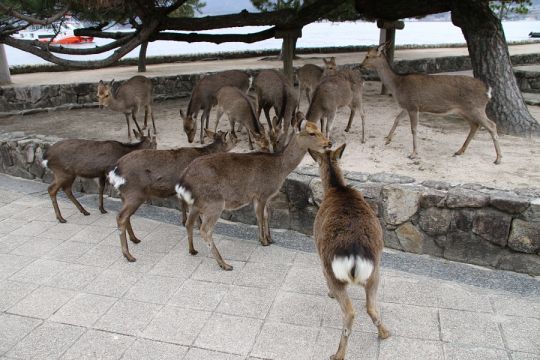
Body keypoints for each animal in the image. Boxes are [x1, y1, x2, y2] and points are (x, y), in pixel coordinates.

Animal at [107, 129, 236, 262]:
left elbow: (183, 205)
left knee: (125, 216)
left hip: (124, 195)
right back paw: (129, 255)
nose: (237, 139)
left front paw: (184, 222)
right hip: (135, 193)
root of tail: (114, 171)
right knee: (121, 216)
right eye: (231, 137)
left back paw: (135, 239)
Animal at [175, 121, 332, 270]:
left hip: (197, 203)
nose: (329, 143)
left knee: (189, 223)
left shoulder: (267, 196)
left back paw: (193, 250)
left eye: (319, 129)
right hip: (214, 203)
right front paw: (263, 241)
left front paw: (270, 239)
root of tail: (183, 179)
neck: (280, 169)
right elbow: (260, 216)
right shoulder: (261, 194)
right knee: (205, 230)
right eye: (311, 133)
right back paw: (225, 264)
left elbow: (267, 216)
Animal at [310, 143, 390, 360]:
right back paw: (385, 333)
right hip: (375, 271)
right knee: (371, 307)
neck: (337, 188)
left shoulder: (319, 257)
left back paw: (337, 354)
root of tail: (354, 256)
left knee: (350, 312)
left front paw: (329, 294)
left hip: (333, 271)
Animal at [360, 42, 504, 165]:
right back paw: (459, 151)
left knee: (491, 125)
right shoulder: (407, 106)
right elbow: (397, 119)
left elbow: (413, 129)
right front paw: (387, 139)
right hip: (464, 110)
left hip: (476, 108)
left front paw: (413, 154)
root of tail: (487, 90)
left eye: (367, 56)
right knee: (475, 125)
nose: (360, 66)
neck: (397, 86)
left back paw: (498, 158)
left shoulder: (413, 106)